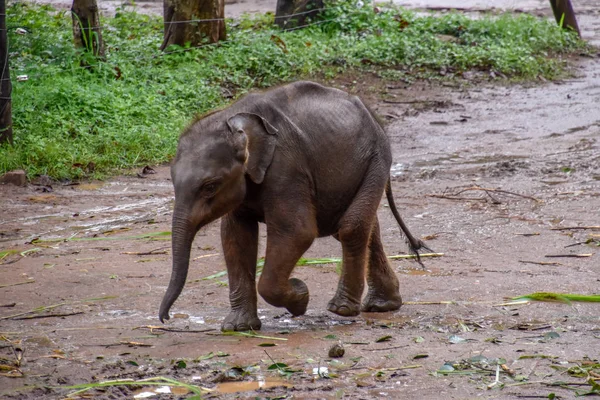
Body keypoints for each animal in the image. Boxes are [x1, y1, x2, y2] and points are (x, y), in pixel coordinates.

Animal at [157, 80, 424, 332]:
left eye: (210, 186)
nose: (165, 318)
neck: (232, 118)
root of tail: (372, 113)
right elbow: (235, 238)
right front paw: (238, 327)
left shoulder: (286, 170)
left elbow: (297, 232)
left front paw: (300, 296)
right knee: (361, 226)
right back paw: (382, 305)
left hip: (376, 158)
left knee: (351, 227)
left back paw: (342, 309)